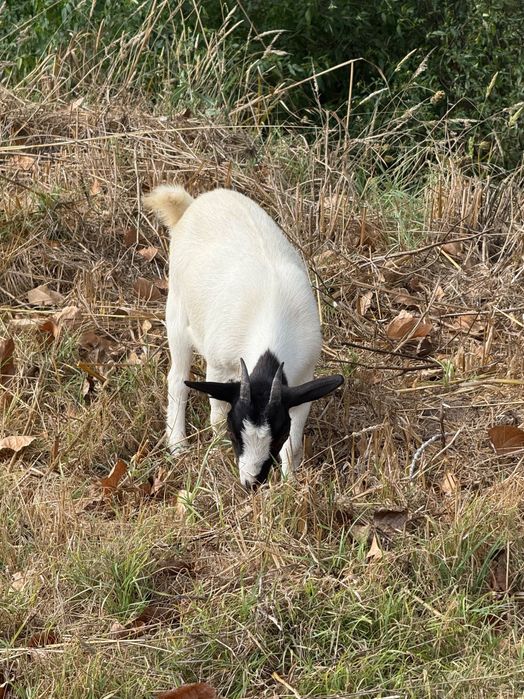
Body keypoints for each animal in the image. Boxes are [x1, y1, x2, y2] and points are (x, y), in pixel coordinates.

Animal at [143, 184, 343, 488]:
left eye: (278, 434)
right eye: (236, 432)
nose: (251, 482)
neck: (271, 311)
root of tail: (192, 205)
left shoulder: (303, 378)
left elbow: (295, 441)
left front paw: (290, 482)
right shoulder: (219, 364)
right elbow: (216, 416)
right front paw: (217, 453)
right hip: (176, 310)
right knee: (177, 379)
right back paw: (177, 446)